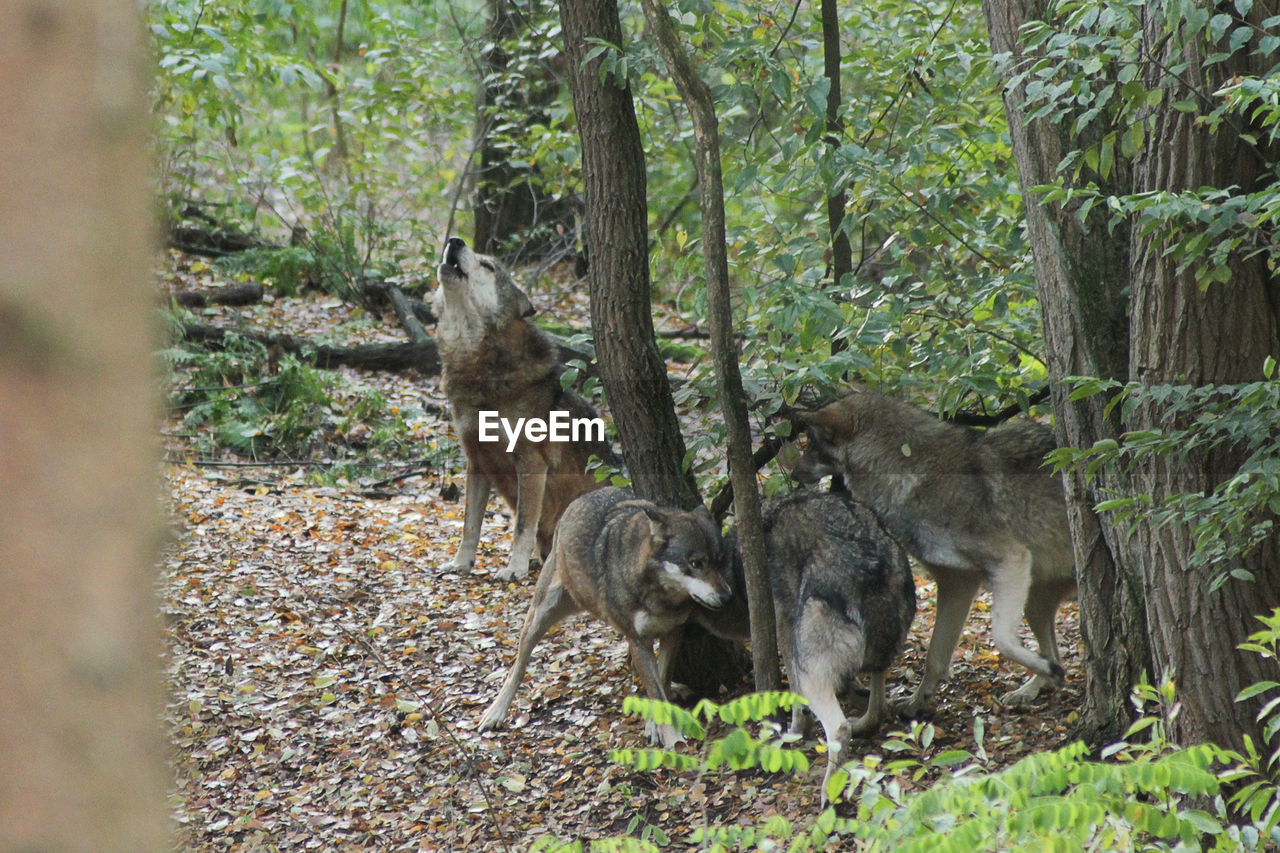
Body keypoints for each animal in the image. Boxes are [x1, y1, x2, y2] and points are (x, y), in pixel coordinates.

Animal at [432, 235, 611, 581]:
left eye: (488, 266)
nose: (455, 240)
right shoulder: (477, 462)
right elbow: (470, 525)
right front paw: (461, 563)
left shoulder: (531, 463)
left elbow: (522, 526)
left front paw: (513, 569)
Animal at [476, 484, 732, 742]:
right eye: (696, 564)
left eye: (720, 561)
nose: (726, 597)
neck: (660, 597)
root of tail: (584, 497)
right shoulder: (638, 641)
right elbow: (657, 691)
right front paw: (673, 740)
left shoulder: (673, 632)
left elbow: (661, 681)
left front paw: (654, 723)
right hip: (540, 617)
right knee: (517, 667)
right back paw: (495, 713)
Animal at [696, 489, 916, 794]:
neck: (734, 568)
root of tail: (875, 565)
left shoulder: (783, 629)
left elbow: (795, 696)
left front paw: (794, 731)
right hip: (882, 649)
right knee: (877, 704)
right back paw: (862, 723)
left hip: (810, 666)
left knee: (839, 727)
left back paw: (829, 792)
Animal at [793, 389, 1075, 712]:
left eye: (812, 444)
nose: (793, 472)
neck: (912, 471)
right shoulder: (957, 583)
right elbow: (935, 656)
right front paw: (918, 700)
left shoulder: (1012, 560)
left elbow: (1002, 639)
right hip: (1033, 601)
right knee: (1054, 652)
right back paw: (1034, 686)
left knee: (1051, 652)